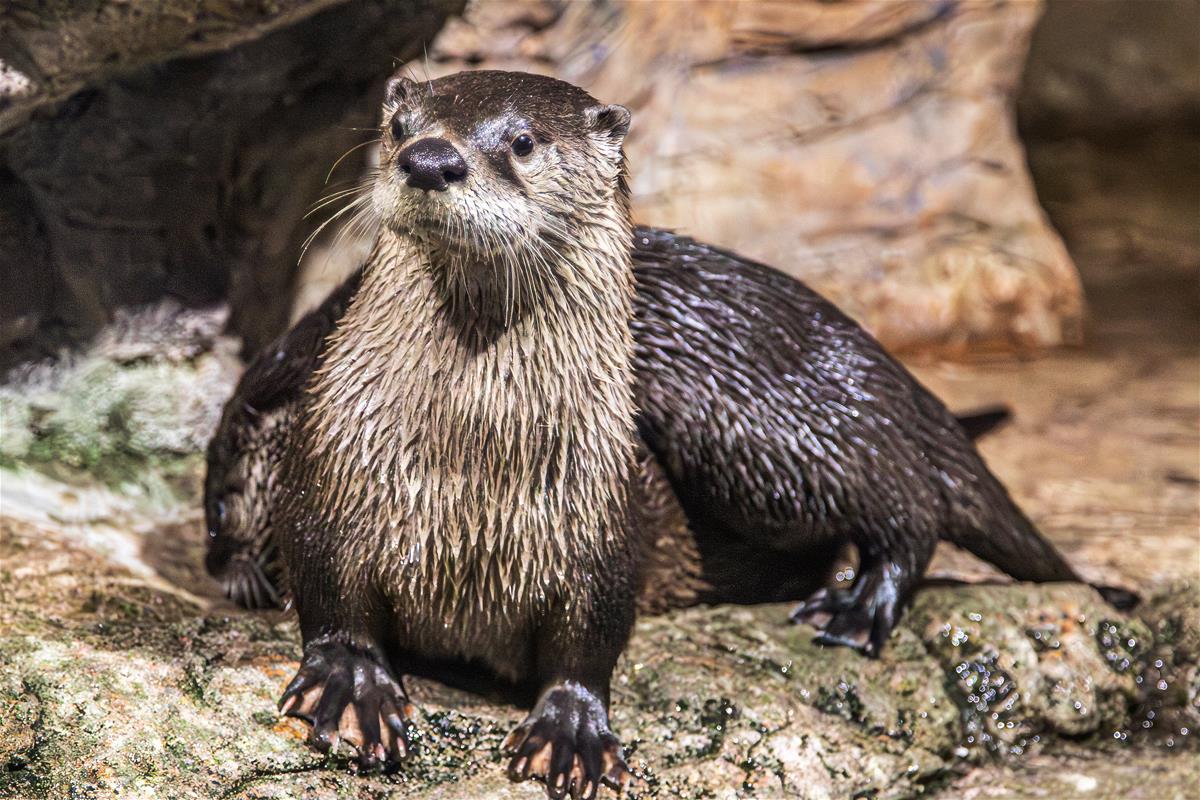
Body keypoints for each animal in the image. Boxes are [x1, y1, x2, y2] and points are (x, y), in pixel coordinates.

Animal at [205, 69, 1133, 796]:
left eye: (524, 141)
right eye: (400, 127)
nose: (430, 158)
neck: (470, 466)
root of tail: (878, 362)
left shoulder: (602, 510)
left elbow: (594, 629)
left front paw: (572, 726)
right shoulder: (330, 464)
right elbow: (328, 584)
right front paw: (349, 681)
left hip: (752, 435)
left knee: (907, 499)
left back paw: (858, 603)